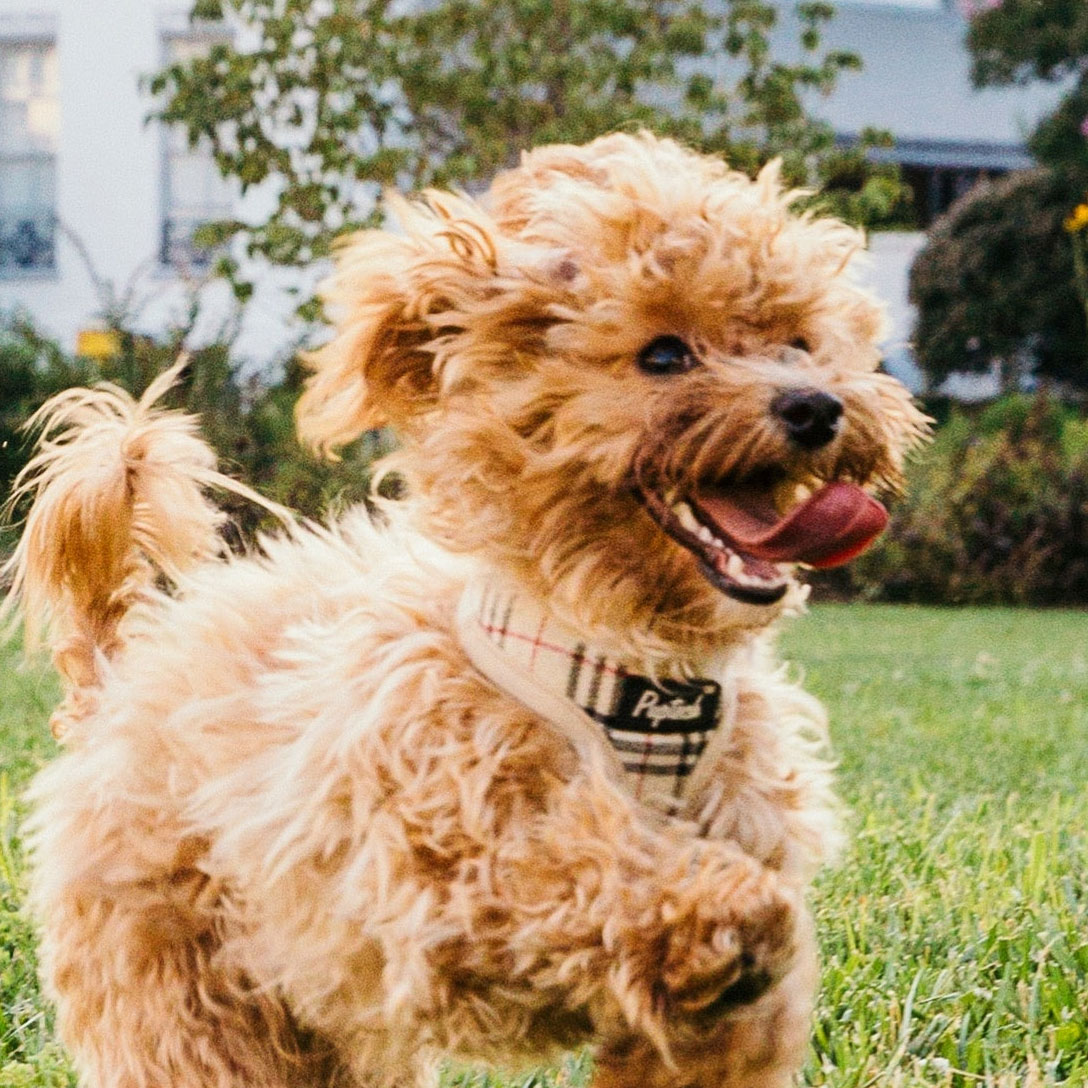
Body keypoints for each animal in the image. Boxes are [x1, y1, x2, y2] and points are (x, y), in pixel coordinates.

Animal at [4, 133, 926, 1088]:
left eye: (800, 342)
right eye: (664, 355)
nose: (816, 405)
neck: (630, 670)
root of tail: (121, 674)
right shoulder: (439, 875)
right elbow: (575, 869)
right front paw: (718, 912)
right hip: (189, 997)